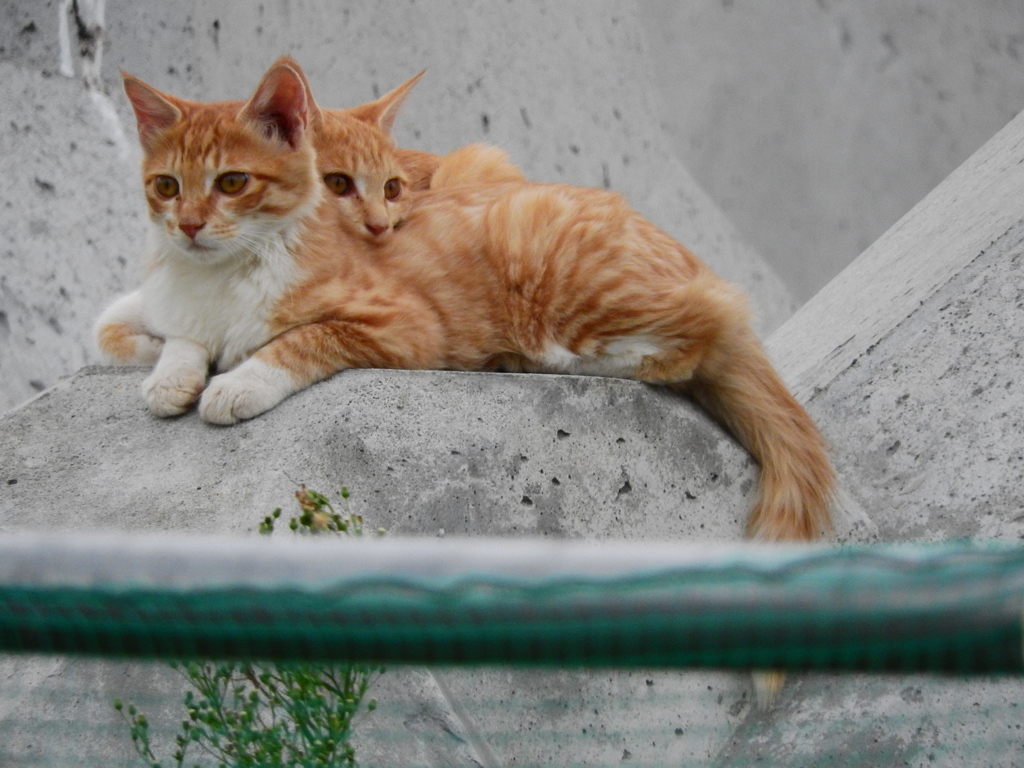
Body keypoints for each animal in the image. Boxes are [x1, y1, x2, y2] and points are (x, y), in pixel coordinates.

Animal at [96, 61, 831, 552]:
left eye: (232, 183)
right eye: (166, 186)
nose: (190, 225)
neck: (221, 274)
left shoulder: (401, 326)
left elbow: (299, 341)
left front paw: (236, 383)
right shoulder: (167, 303)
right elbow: (153, 333)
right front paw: (170, 373)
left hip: (575, 286)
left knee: (710, 320)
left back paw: (539, 361)